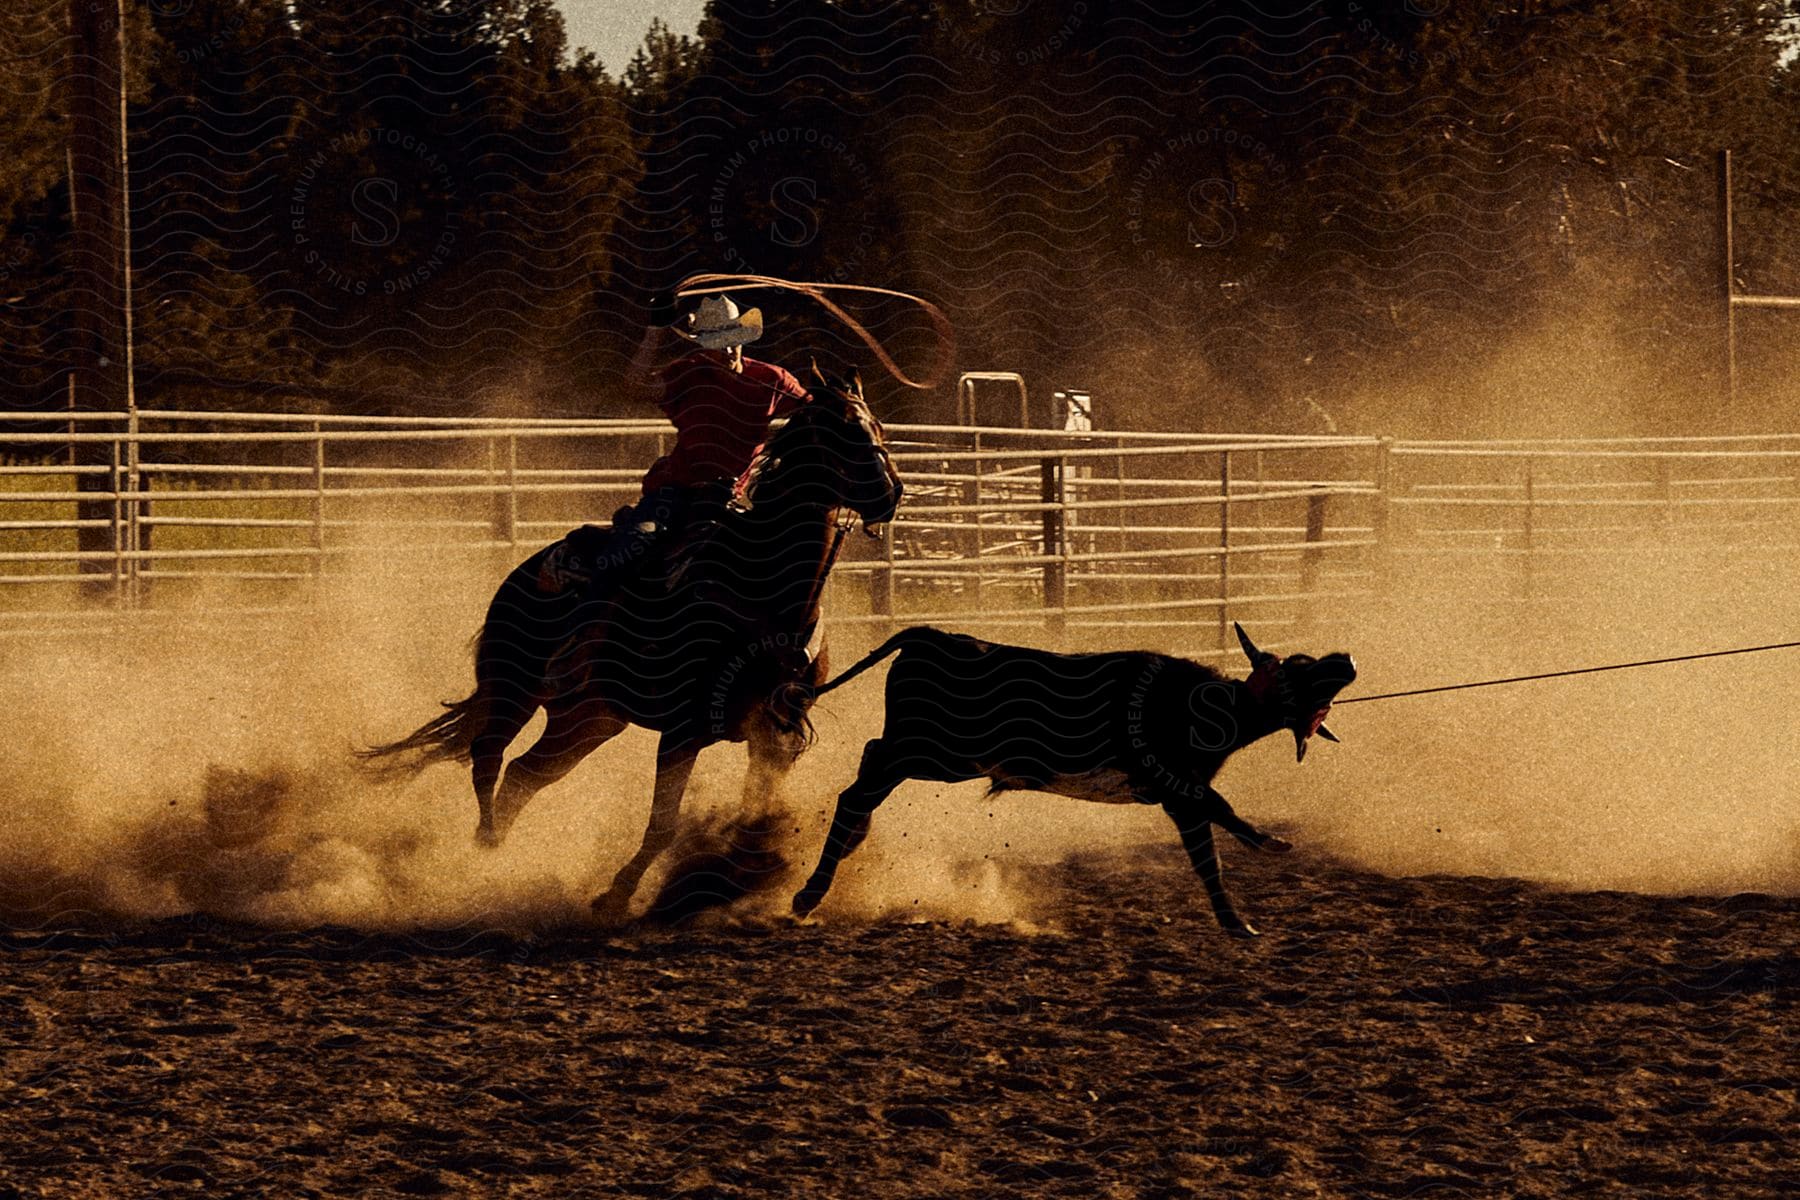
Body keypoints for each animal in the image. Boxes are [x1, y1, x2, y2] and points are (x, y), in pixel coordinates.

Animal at [365, 367, 900, 921]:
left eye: (877, 425)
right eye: (840, 430)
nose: (891, 493)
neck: (767, 594)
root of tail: (524, 568)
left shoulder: (775, 737)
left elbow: (754, 814)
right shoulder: (684, 730)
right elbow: (662, 824)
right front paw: (616, 895)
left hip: (589, 717)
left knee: (523, 775)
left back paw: (497, 854)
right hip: (515, 688)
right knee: (488, 756)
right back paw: (481, 855)